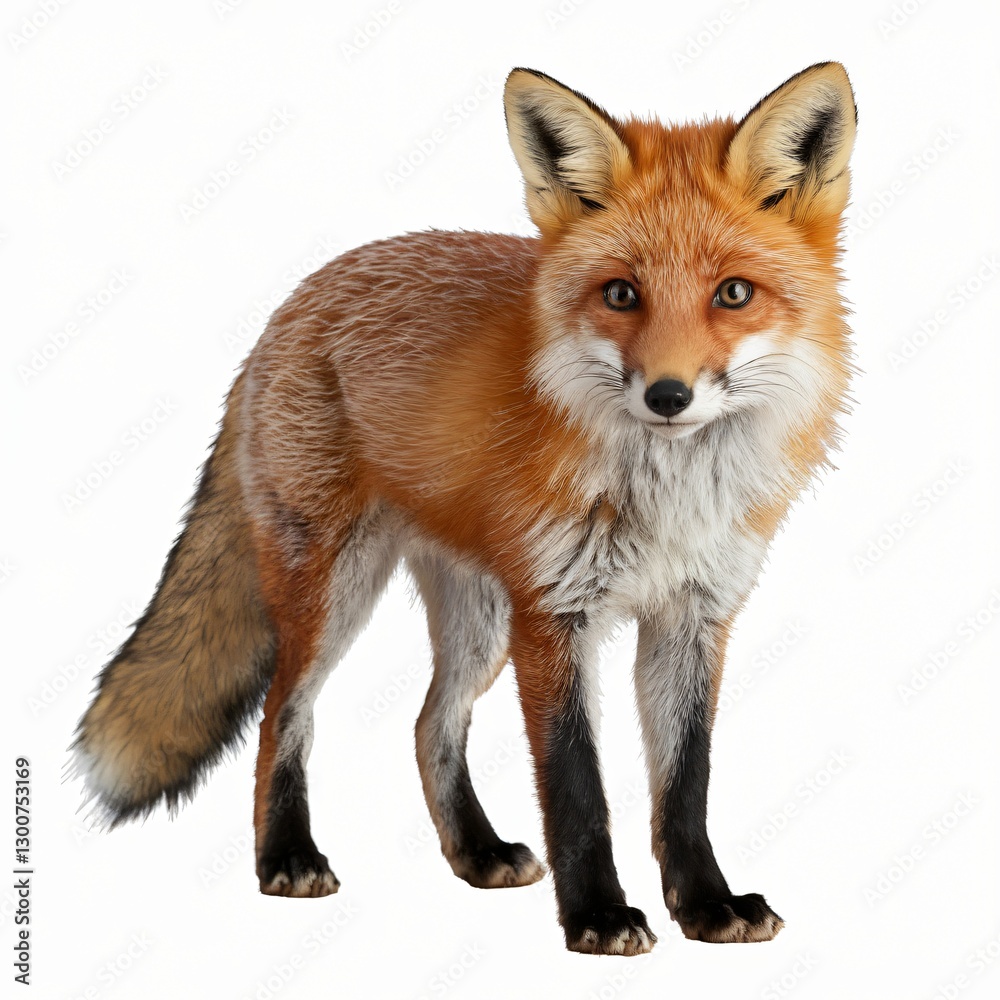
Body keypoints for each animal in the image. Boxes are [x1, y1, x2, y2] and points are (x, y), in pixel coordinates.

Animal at [73, 63, 857, 956]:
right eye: (621, 294)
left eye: (733, 294)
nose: (667, 395)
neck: (667, 498)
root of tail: (297, 299)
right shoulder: (555, 614)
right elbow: (576, 785)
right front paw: (597, 914)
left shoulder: (694, 616)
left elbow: (686, 785)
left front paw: (706, 904)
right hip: (336, 594)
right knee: (283, 716)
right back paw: (287, 857)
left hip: (480, 620)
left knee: (428, 723)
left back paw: (474, 851)